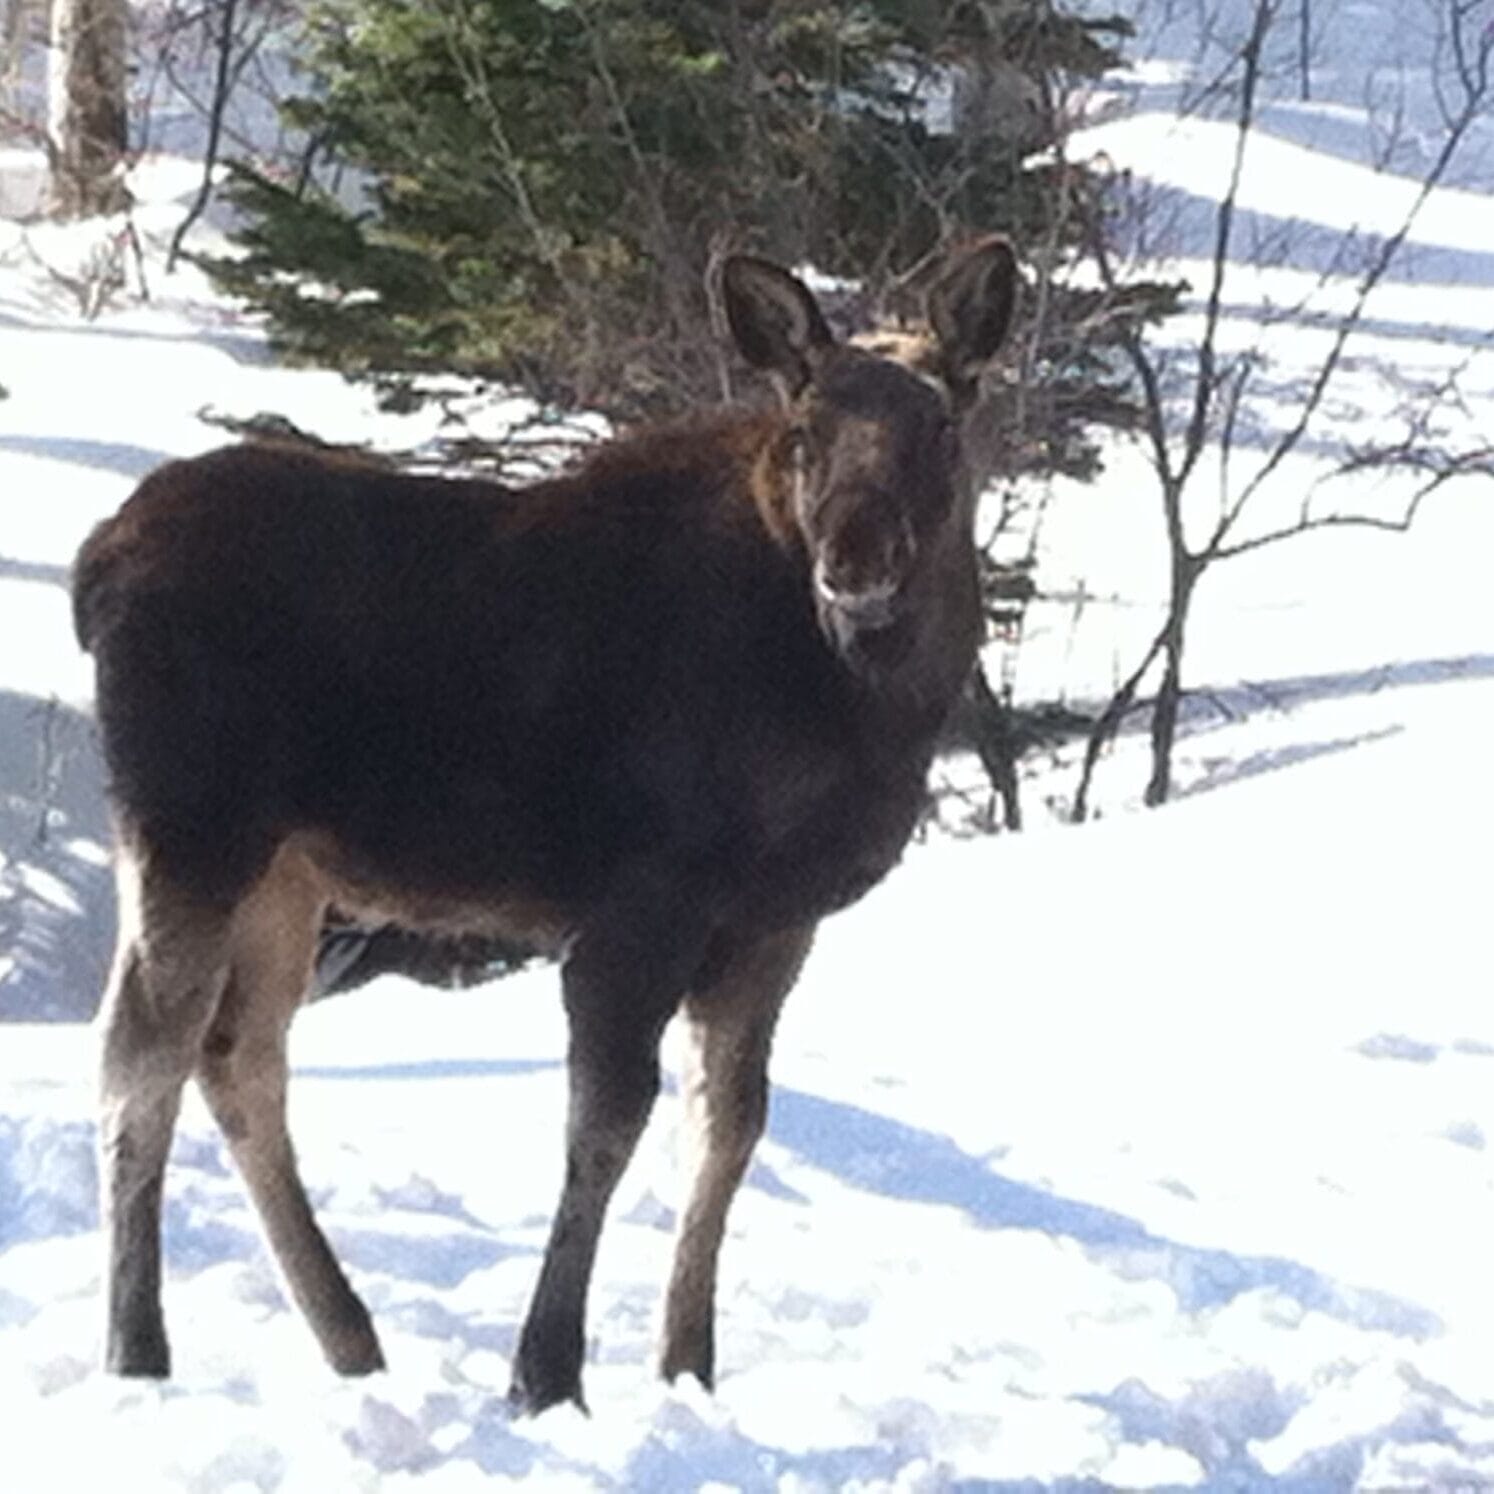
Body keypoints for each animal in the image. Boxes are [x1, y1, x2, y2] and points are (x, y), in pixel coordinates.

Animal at [72, 237, 1019, 1414]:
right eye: (805, 429)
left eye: (940, 425)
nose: (855, 559)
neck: (867, 708)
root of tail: (94, 563)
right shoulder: (642, 903)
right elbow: (607, 1125)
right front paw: (547, 1372)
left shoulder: (774, 922)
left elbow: (729, 1126)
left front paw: (687, 1365)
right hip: (191, 830)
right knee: (140, 1056)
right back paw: (138, 1350)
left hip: (286, 870)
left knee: (236, 1054)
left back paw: (350, 1338)